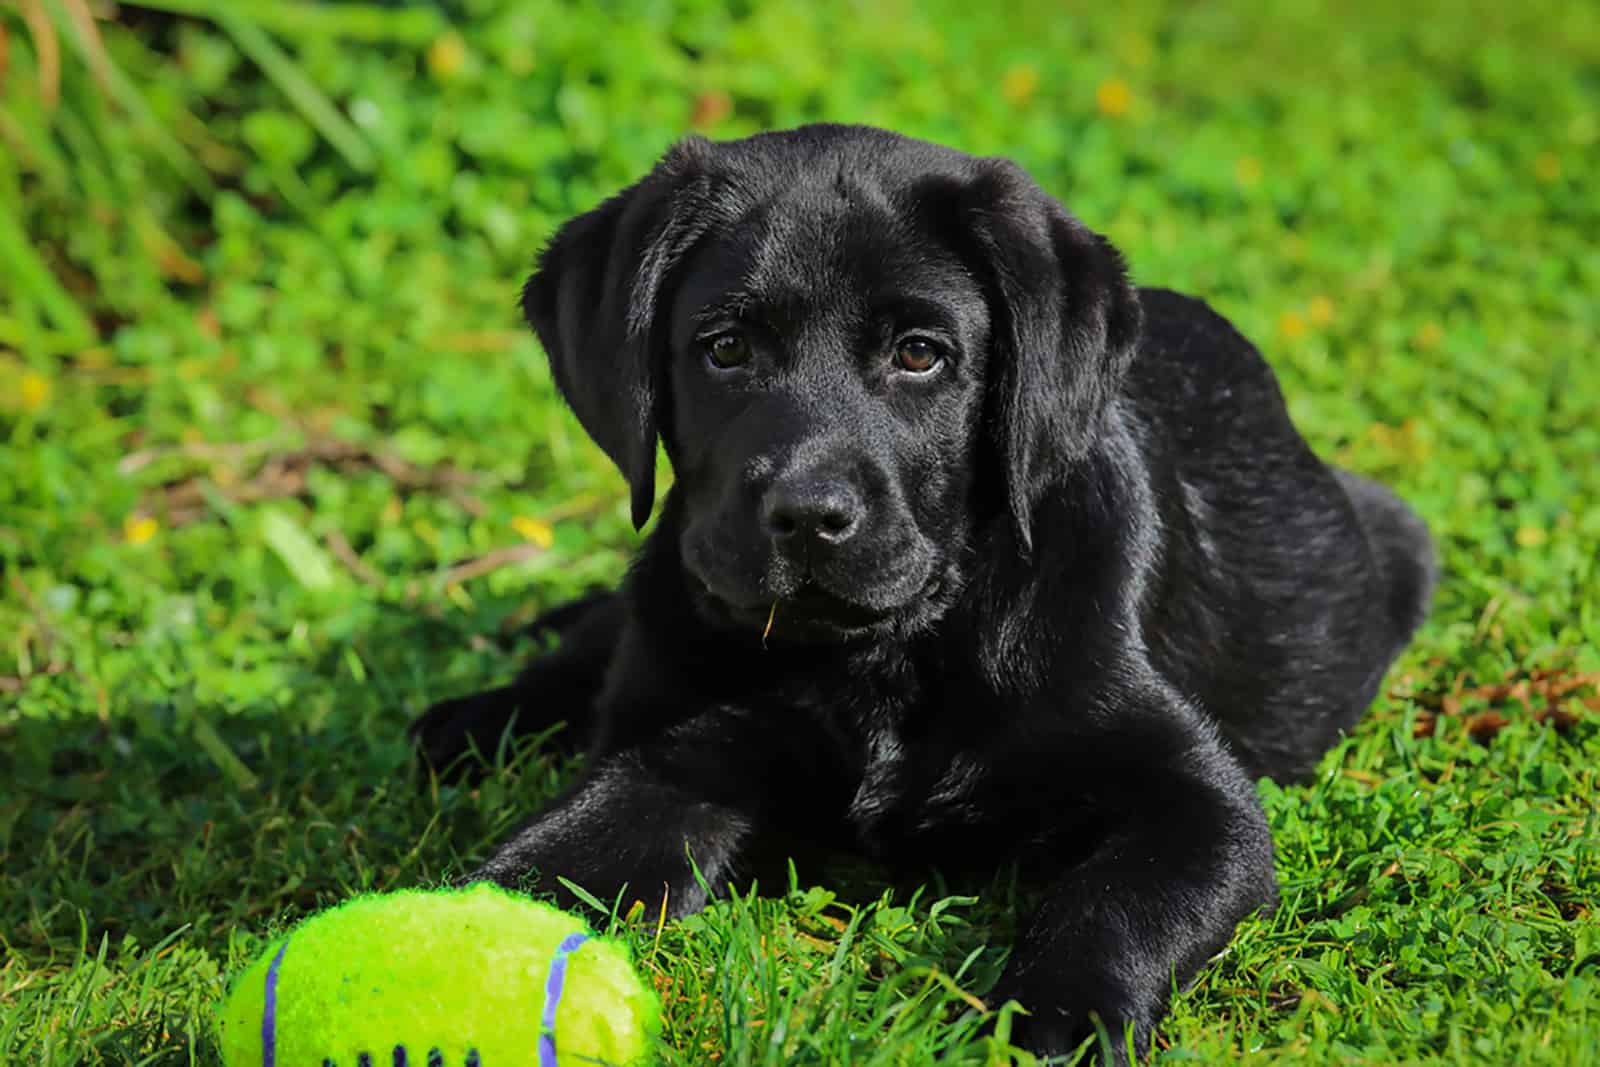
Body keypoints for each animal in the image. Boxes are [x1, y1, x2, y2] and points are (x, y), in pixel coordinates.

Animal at [412, 125, 1440, 1062]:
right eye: (725, 348)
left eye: (920, 354)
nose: (809, 515)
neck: (886, 654)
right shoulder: (668, 761)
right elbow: (534, 872)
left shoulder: (1197, 801)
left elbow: (1118, 898)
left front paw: (1058, 1020)